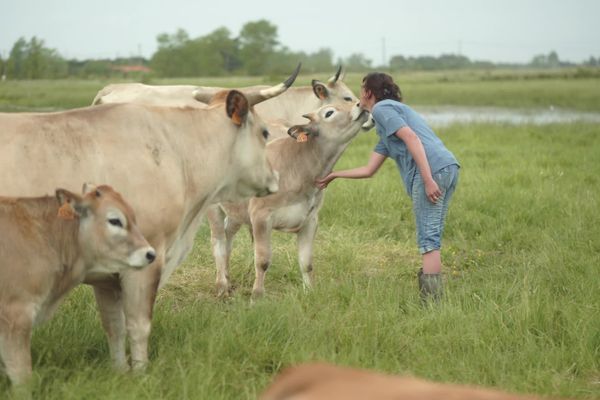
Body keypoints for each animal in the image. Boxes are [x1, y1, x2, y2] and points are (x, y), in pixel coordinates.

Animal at [207, 101, 370, 298]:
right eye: (329, 112)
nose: (361, 104)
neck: (299, 167)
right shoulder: (261, 216)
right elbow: (262, 261)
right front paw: (257, 296)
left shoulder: (310, 219)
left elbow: (306, 262)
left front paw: (309, 292)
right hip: (212, 207)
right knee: (218, 242)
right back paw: (222, 287)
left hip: (237, 212)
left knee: (228, 237)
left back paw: (228, 280)